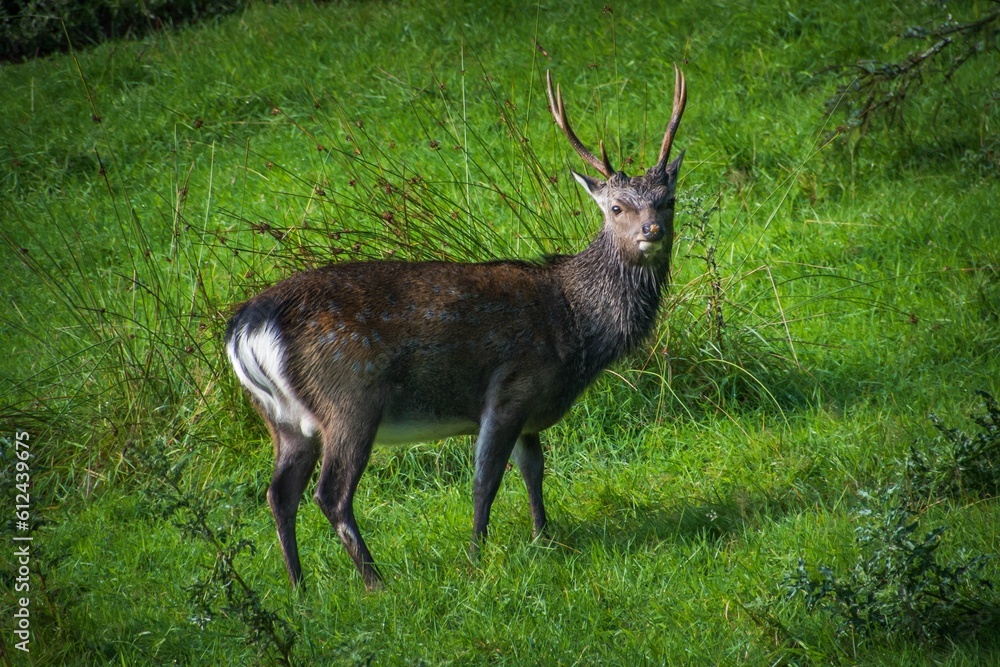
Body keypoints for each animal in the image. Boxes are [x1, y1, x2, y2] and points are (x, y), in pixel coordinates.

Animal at [224, 66, 688, 588]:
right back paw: (376, 582)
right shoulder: (509, 389)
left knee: (279, 494)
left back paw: (299, 586)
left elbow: (535, 471)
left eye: (669, 200)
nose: (652, 232)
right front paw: (477, 556)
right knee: (331, 494)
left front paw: (545, 539)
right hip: (349, 397)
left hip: (282, 418)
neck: (573, 321)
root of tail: (246, 325)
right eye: (616, 208)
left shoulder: (529, 408)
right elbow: (486, 480)